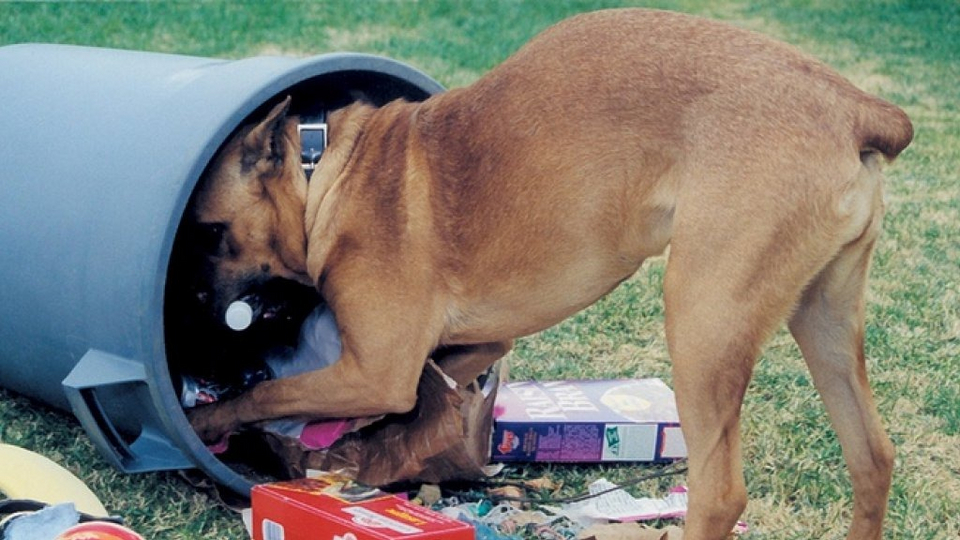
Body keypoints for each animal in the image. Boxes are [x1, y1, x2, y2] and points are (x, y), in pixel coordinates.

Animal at [186, 9, 908, 540]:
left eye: (209, 233)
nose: (197, 318)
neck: (326, 174)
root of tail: (854, 104)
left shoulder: (371, 370)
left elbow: (269, 394)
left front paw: (215, 420)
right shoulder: (466, 348)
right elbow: (418, 391)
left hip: (703, 323)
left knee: (720, 493)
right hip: (823, 321)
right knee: (872, 457)